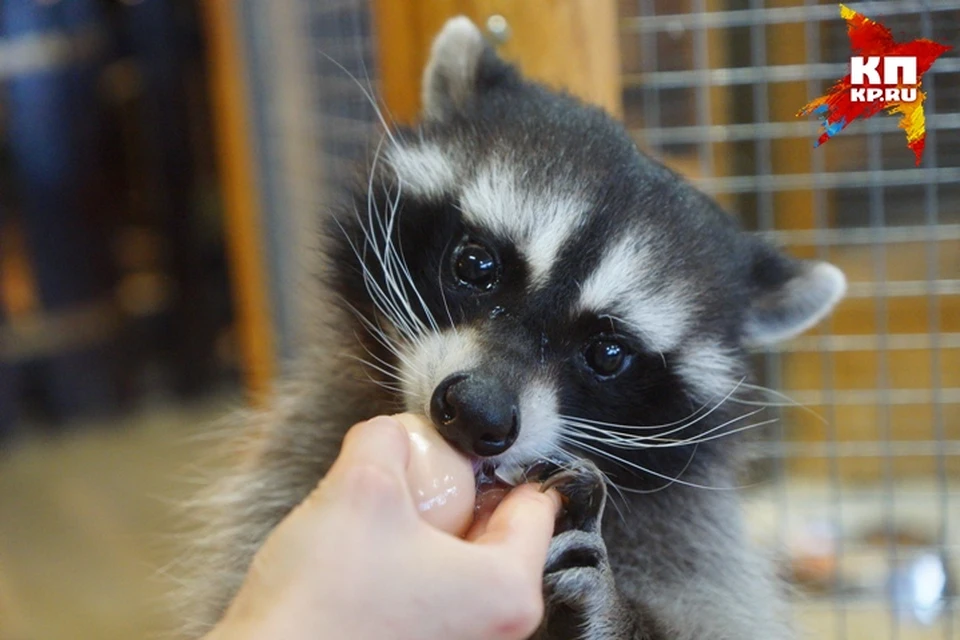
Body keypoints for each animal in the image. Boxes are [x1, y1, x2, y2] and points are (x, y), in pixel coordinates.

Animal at [184, 16, 844, 640]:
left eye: (608, 354)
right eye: (476, 265)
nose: (478, 413)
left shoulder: (689, 542)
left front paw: (613, 611)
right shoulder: (298, 453)